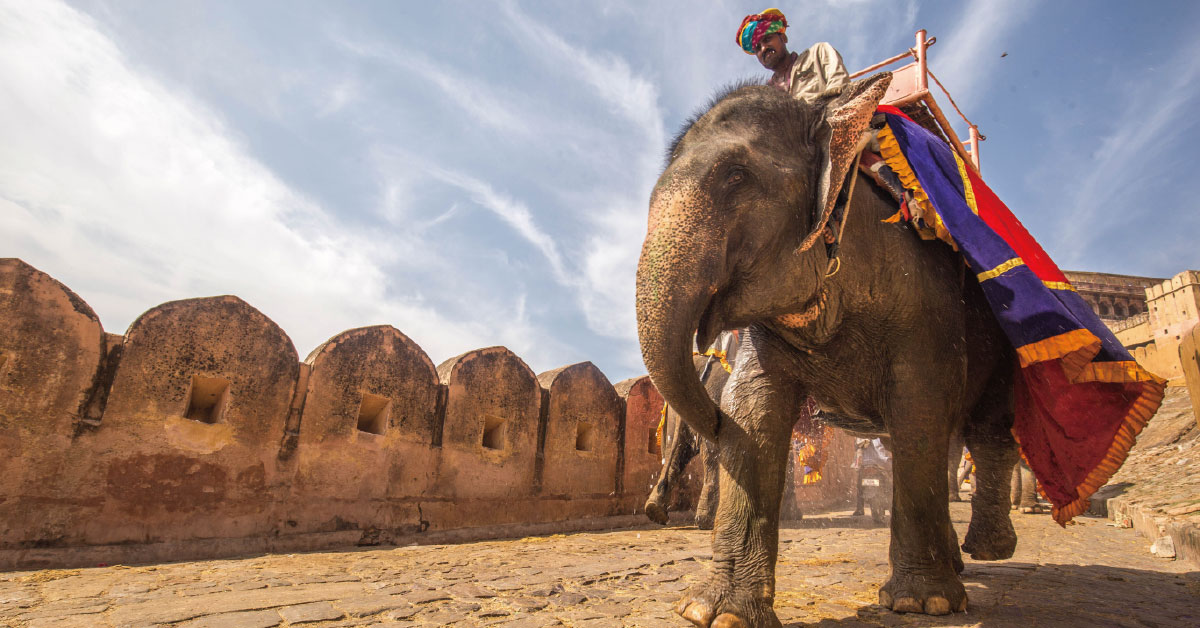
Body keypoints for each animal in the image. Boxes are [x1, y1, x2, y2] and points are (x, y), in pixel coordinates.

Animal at [633, 75, 1017, 628]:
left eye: (736, 176)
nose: (711, 415)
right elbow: (753, 409)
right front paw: (714, 613)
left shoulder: (925, 297)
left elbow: (919, 404)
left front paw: (922, 604)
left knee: (985, 430)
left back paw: (987, 551)